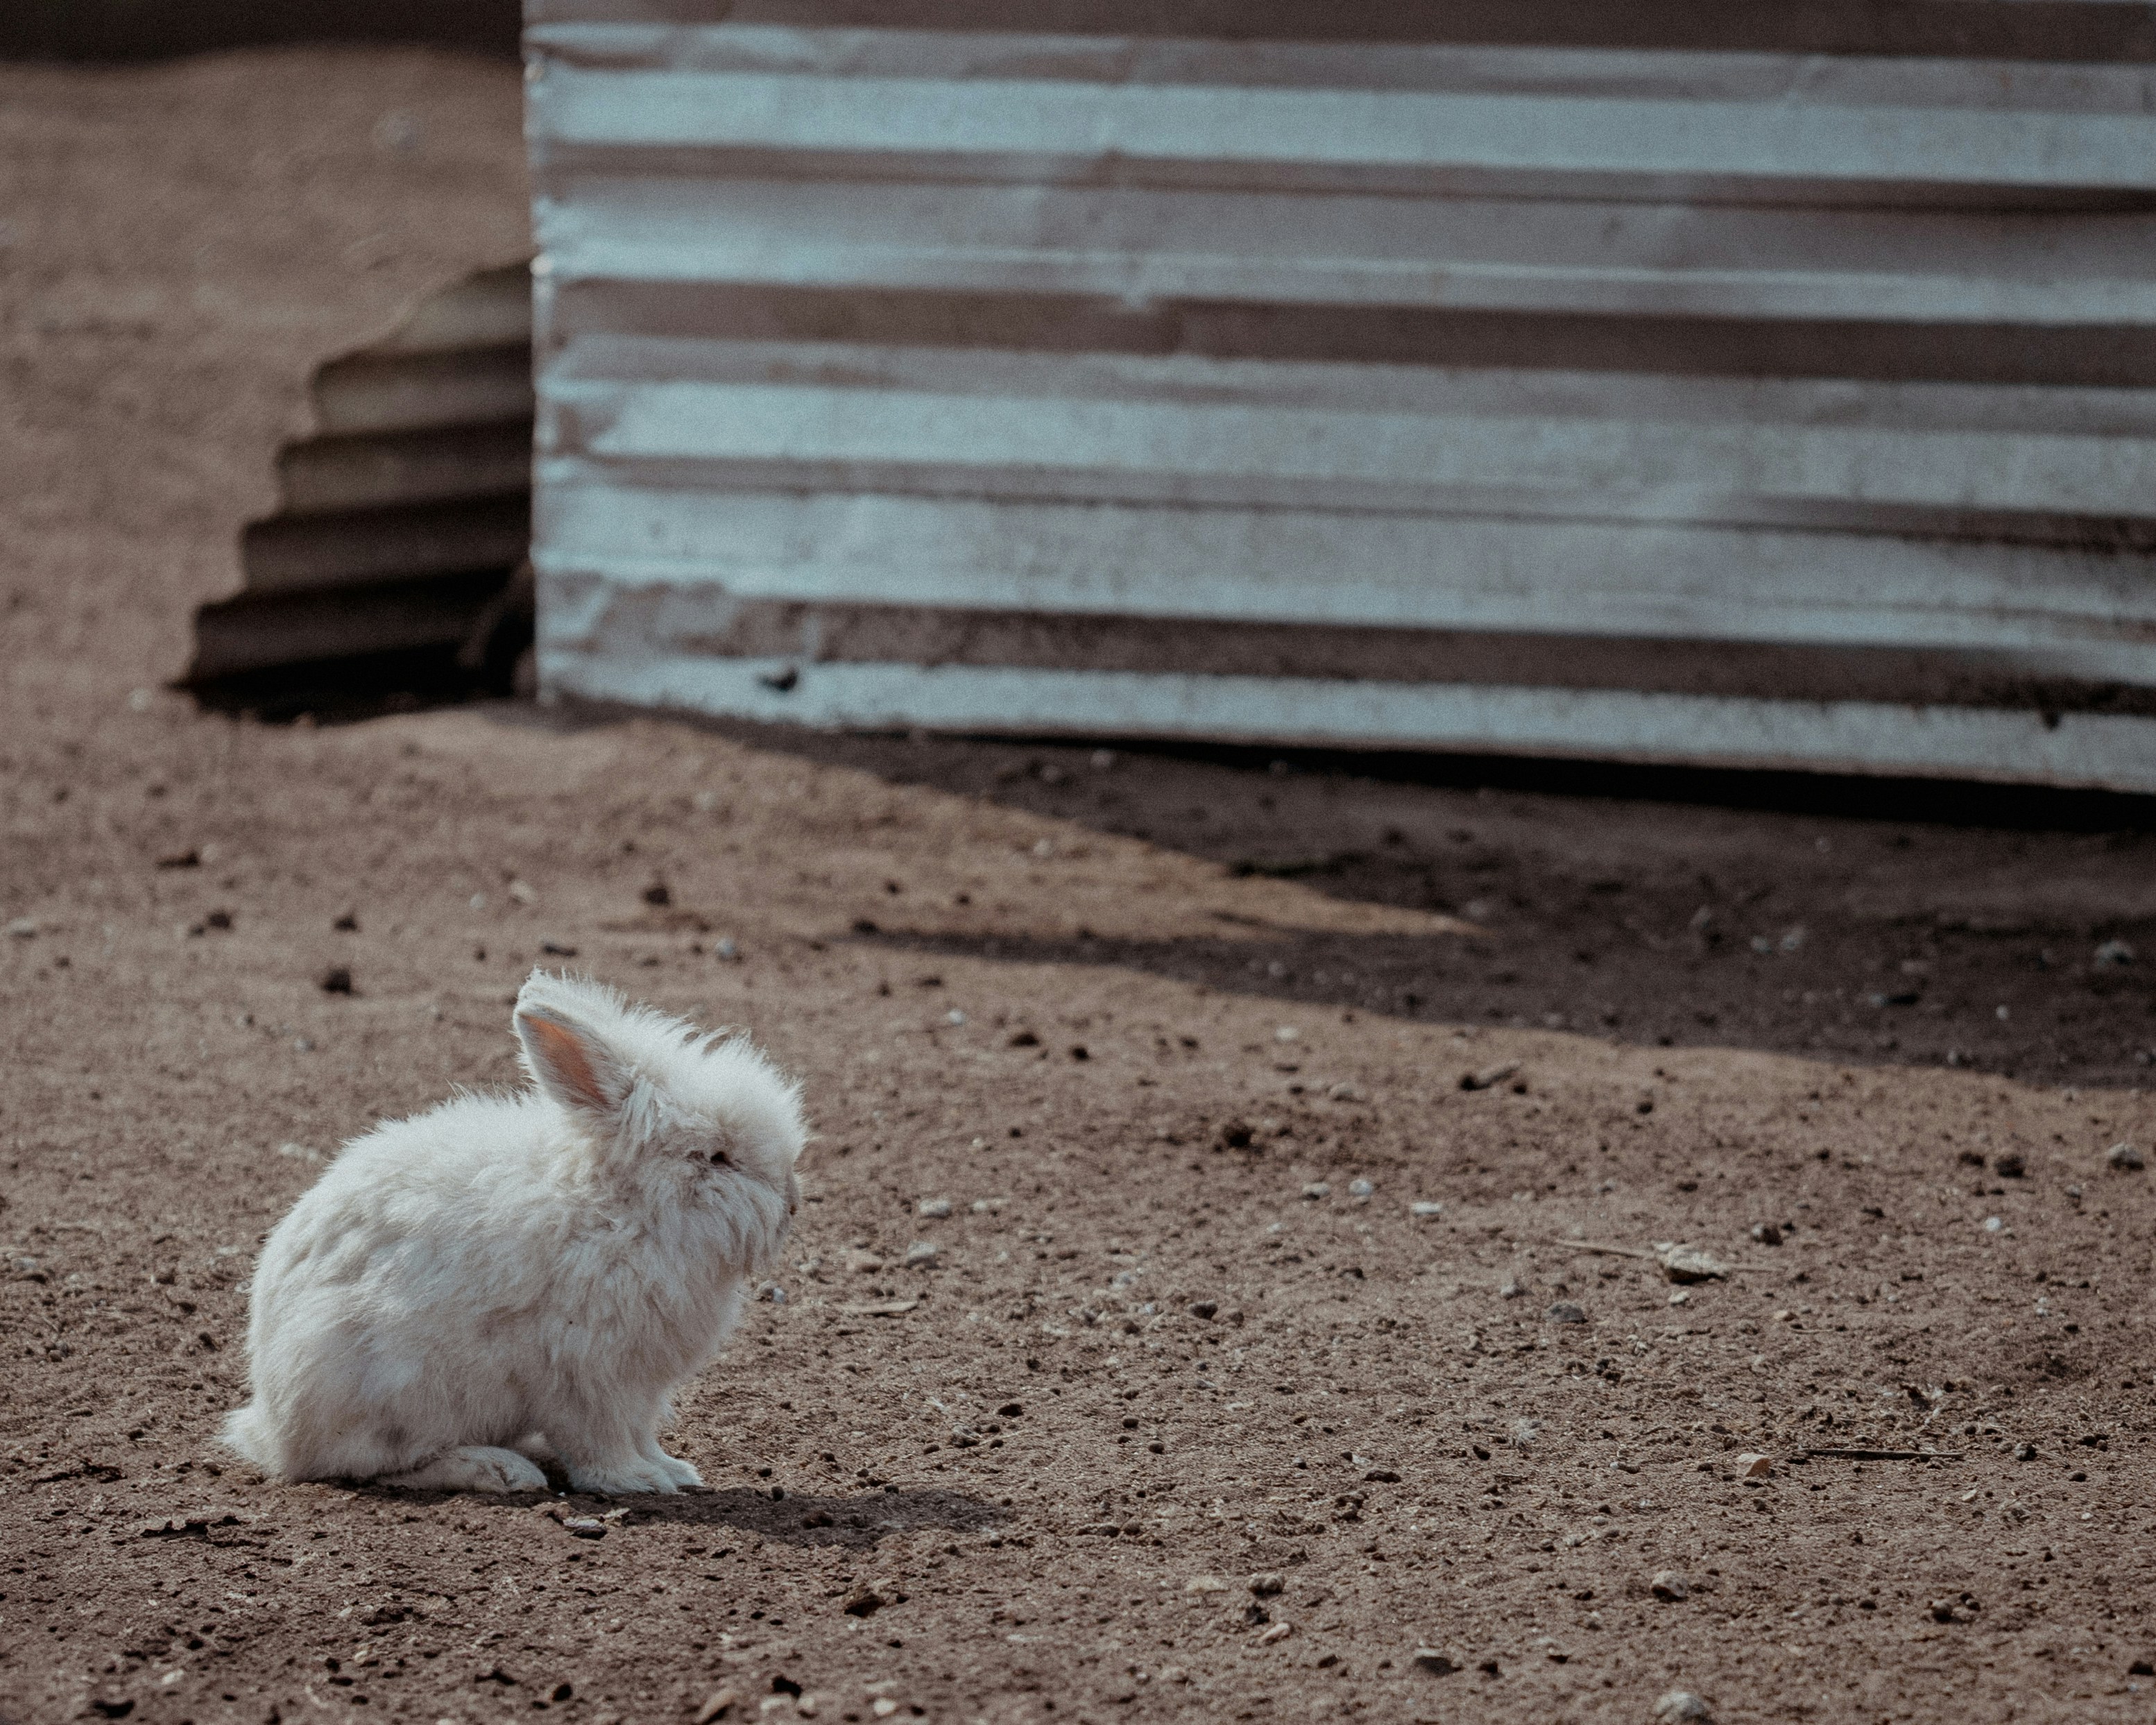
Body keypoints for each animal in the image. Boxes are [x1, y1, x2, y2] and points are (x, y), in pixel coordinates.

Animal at [221, 969, 806, 1495]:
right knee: (374, 1465)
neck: (623, 1211)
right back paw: (500, 1470)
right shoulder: (588, 1374)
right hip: (401, 1392)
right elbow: (602, 1442)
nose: (793, 1204)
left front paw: (674, 1470)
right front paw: (638, 1482)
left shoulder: (638, 1387)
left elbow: (641, 1434)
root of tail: (274, 1431)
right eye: (716, 1157)